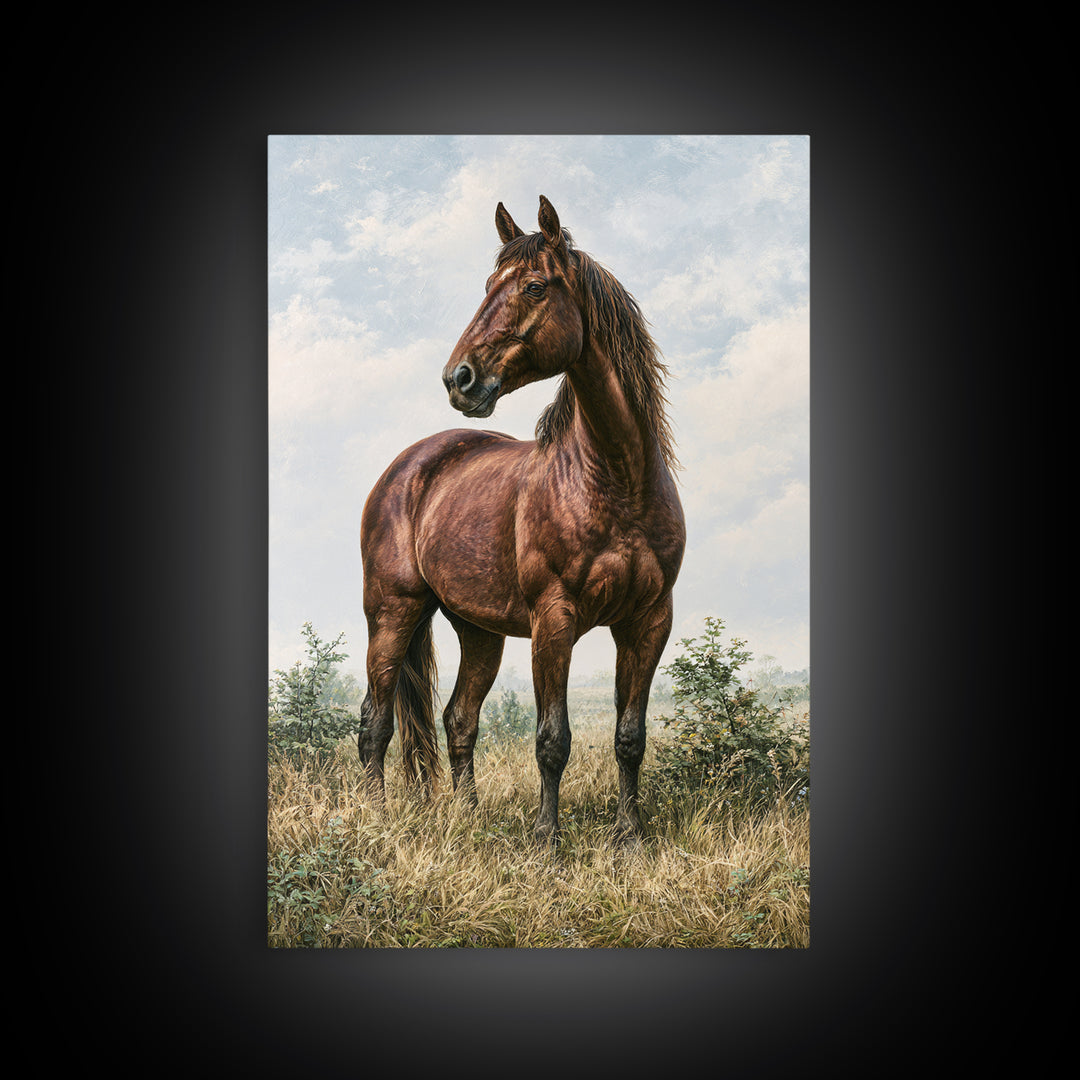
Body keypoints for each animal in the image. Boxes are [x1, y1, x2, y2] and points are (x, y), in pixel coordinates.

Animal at [357, 195, 685, 845]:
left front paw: (631, 837)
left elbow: (630, 737)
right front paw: (546, 843)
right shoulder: (554, 620)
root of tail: (406, 468)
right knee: (375, 723)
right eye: (489, 286)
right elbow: (552, 741)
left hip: (477, 630)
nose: (458, 378)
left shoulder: (648, 621)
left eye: (534, 287)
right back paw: (376, 820)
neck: (616, 479)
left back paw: (468, 818)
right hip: (392, 613)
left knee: (458, 719)